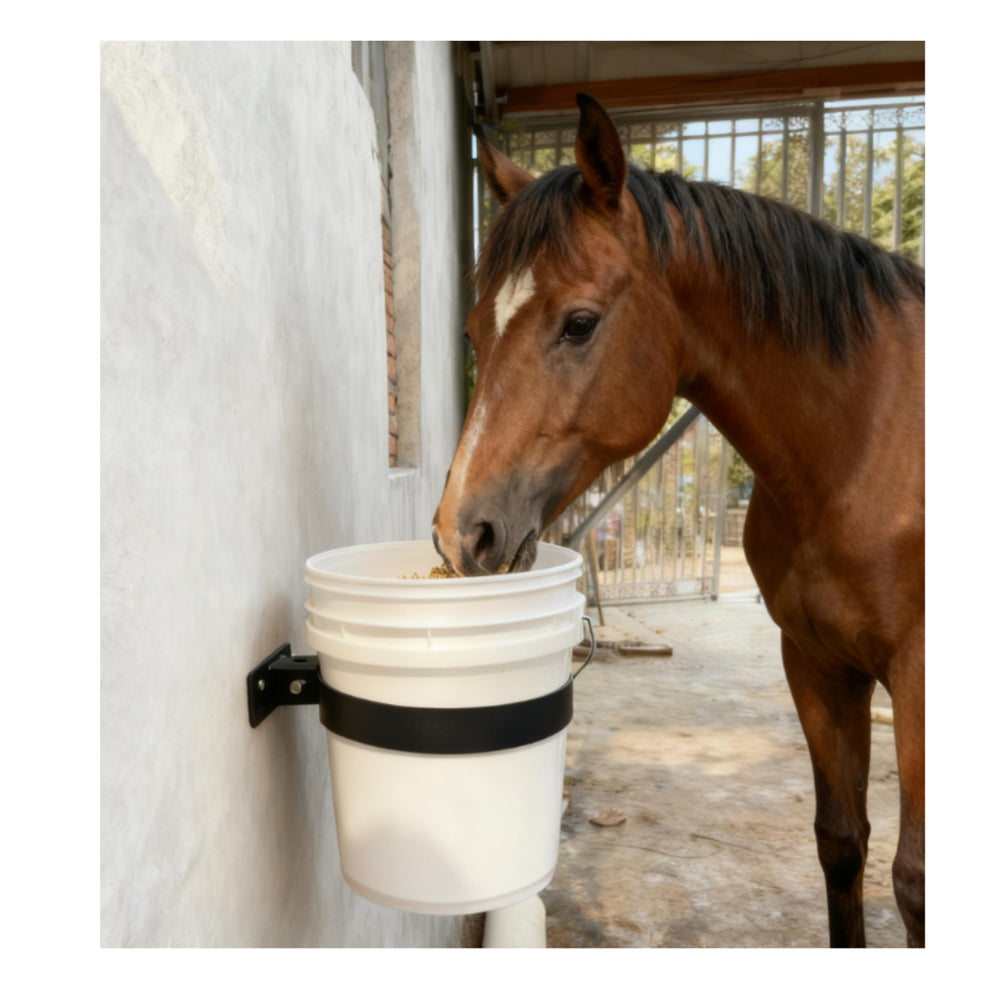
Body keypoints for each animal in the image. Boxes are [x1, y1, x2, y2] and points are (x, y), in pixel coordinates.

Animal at [432, 93, 924, 948]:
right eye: (474, 330)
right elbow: (842, 842)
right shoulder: (817, 662)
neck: (866, 436)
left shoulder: (922, 678)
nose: (463, 532)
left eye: (580, 322)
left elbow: (914, 885)